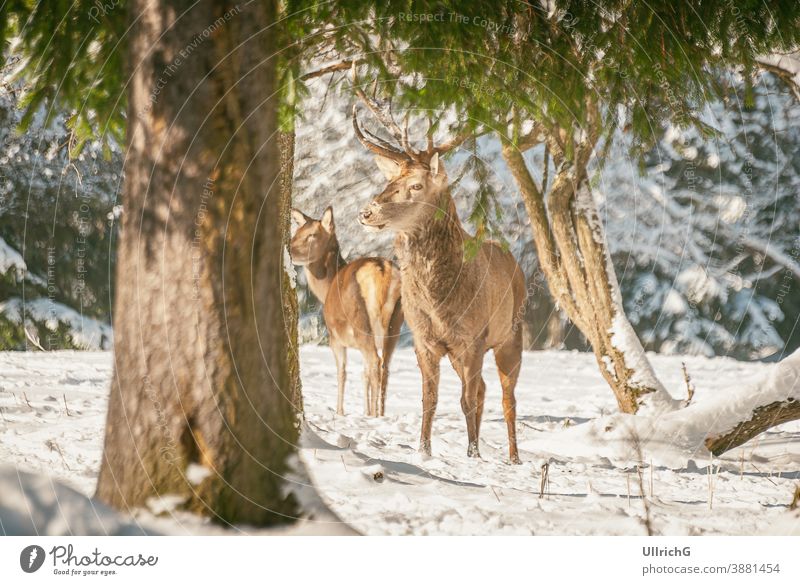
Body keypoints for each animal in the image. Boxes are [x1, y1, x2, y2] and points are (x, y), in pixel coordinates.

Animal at [290, 205, 404, 416]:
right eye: (296, 232)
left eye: (311, 235)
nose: (290, 251)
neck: (325, 290)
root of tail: (382, 271)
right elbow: (363, 374)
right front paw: (365, 410)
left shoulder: (334, 337)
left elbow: (341, 373)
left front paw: (340, 412)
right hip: (396, 321)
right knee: (384, 365)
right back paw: (380, 414)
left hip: (360, 321)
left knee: (375, 363)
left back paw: (375, 416)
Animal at [354, 93, 528, 464]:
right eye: (389, 182)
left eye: (416, 185)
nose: (367, 211)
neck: (440, 301)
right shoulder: (425, 339)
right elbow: (430, 399)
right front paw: (424, 451)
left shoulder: (473, 337)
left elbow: (466, 399)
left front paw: (473, 455)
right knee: (484, 389)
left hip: (511, 333)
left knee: (506, 397)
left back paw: (513, 457)